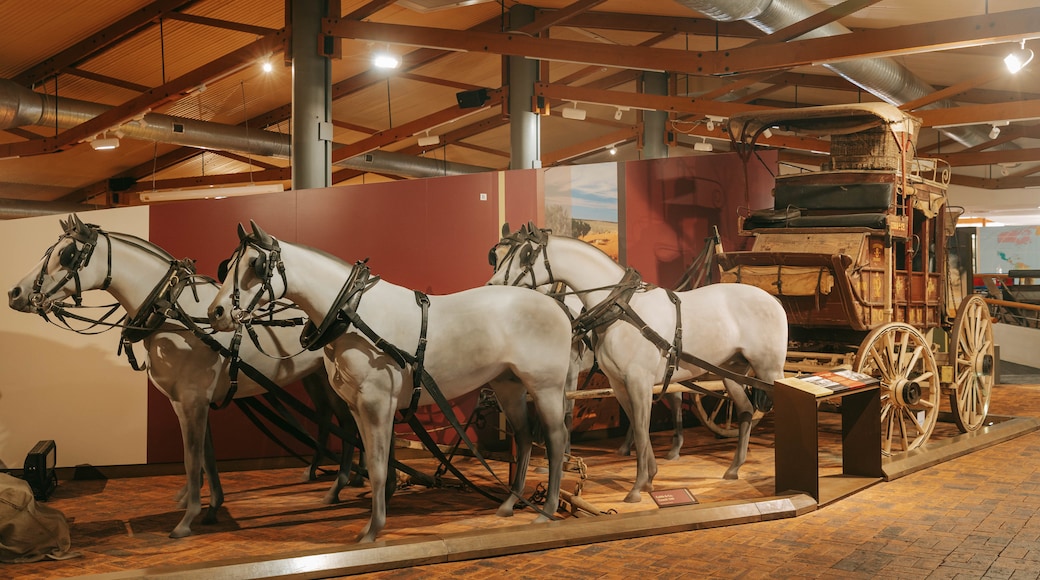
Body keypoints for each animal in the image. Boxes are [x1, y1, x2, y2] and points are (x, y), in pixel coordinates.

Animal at [7, 215, 361, 540]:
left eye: (67, 254)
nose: (14, 292)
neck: (174, 315)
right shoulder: (195, 401)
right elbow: (206, 454)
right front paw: (212, 505)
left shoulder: (190, 401)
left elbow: (193, 458)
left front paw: (187, 519)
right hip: (316, 379)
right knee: (333, 420)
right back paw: (332, 476)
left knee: (348, 424)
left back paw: (340, 487)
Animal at [205, 222, 574, 544]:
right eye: (228, 266)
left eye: (256, 265)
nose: (216, 313)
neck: (355, 315)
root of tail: (556, 305)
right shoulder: (357, 407)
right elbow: (370, 461)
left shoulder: (377, 404)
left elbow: (380, 467)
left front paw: (372, 530)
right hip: (508, 385)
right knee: (524, 438)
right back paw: (510, 504)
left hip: (546, 387)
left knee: (556, 441)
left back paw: (546, 510)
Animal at [486, 225, 786, 503]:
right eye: (495, 256)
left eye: (526, 254)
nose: (493, 287)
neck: (620, 309)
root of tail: (772, 299)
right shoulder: (620, 385)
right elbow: (636, 423)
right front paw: (650, 477)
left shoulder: (637, 381)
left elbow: (641, 428)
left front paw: (637, 486)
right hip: (732, 373)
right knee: (746, 410)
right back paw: (734, 468)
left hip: (769, 371)